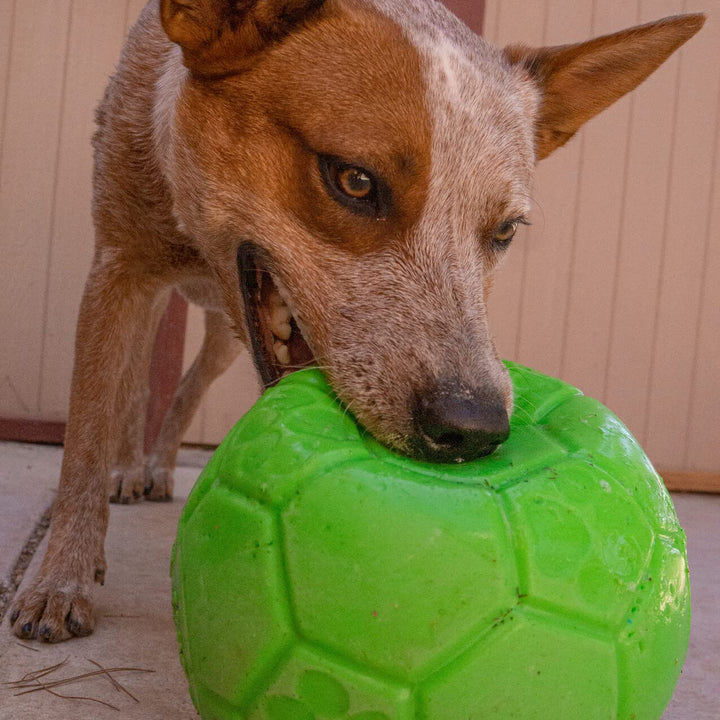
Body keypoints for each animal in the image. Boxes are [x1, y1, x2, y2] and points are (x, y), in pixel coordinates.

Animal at [7, 0, 704, 640]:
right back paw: (131, 469)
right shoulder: (118, 271)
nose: (475, 428)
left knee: (187, 387)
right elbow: (88, 434)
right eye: (355, 181)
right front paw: (59, 581)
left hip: (224, 338)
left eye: (505, 230)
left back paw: (155, 464)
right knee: (132, 388)